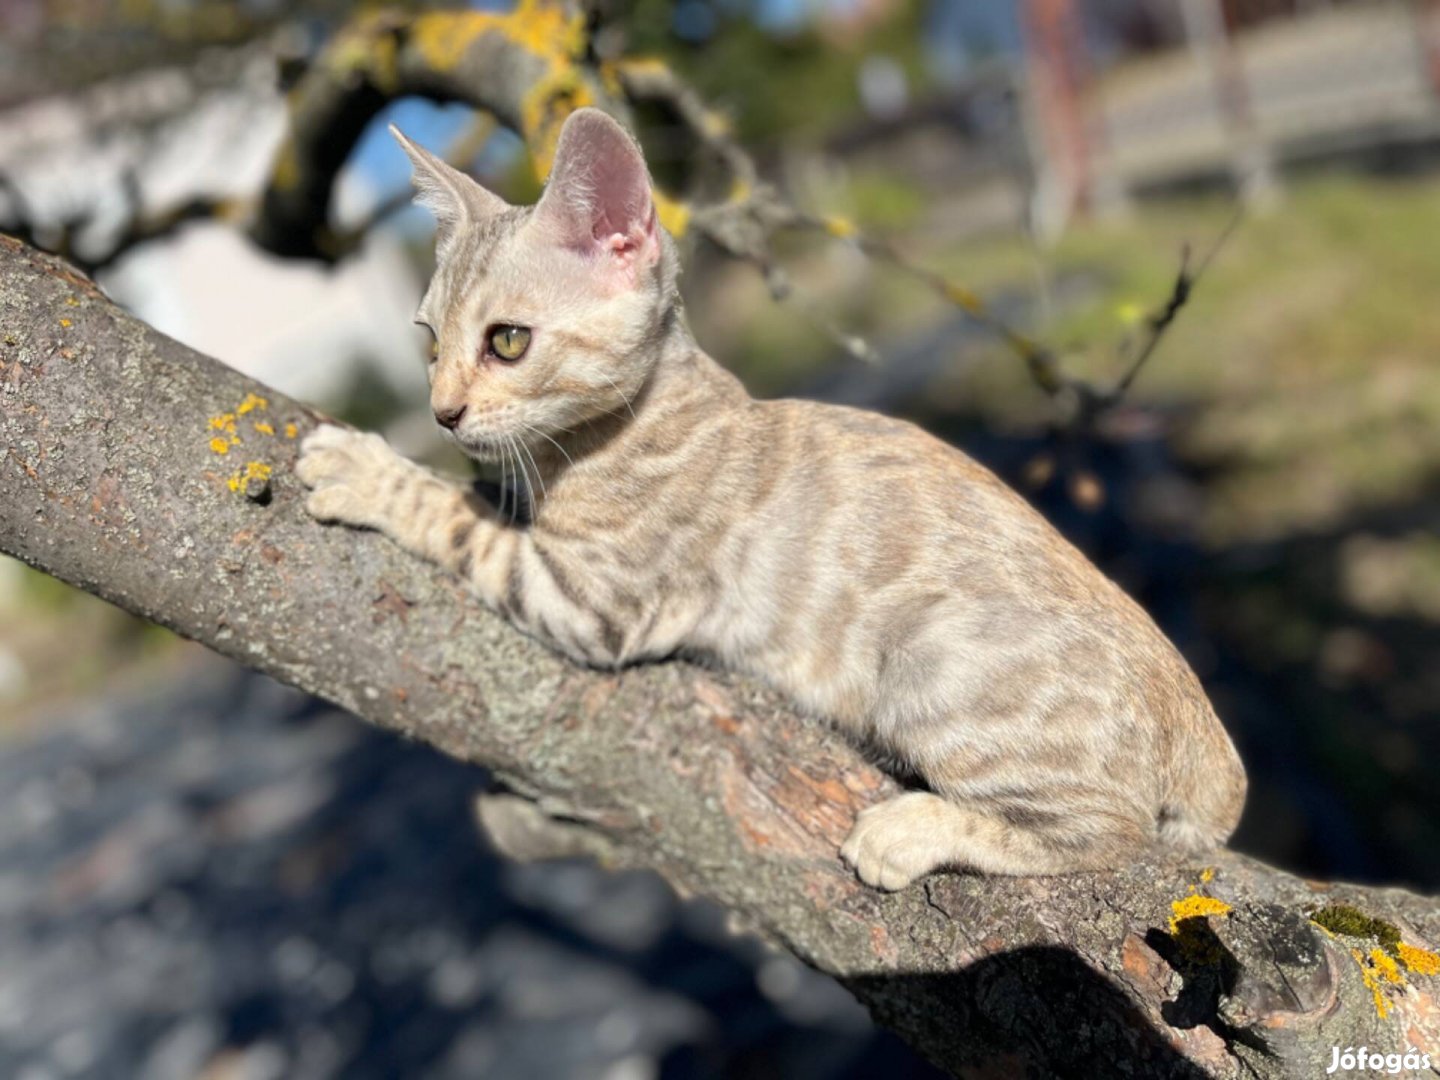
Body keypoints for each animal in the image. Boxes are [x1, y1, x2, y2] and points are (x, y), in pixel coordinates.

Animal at [298, 108, 1244, 887]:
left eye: (506, 342)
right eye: (428, 342)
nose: (441, 412)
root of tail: (1212, 745)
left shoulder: (594, 602)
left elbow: (463, 527)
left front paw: (365, 469)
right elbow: (489, 493)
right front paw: (461, 468)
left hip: (935, 661)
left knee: (1110, 834)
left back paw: (911, 832)